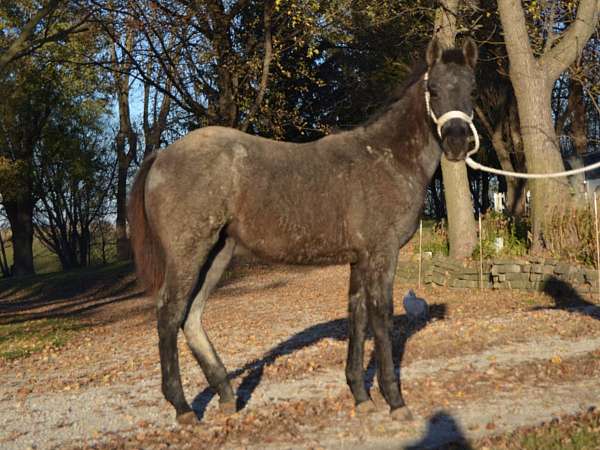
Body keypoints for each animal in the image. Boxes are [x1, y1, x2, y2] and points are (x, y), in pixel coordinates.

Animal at [127, 37, 478, 424]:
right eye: (434, 89)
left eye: (472, 89)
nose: (457, 143)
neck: (388, 157)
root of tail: (161, 156)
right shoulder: (382, 254)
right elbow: (381, 317)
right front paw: (395, 401)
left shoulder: (359, 259)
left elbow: (357, 316)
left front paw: (360, 396)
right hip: (188, 254)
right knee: (169, 313)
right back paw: (183, 407)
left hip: (217, 254)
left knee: (191, 317)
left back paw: (226, 397)